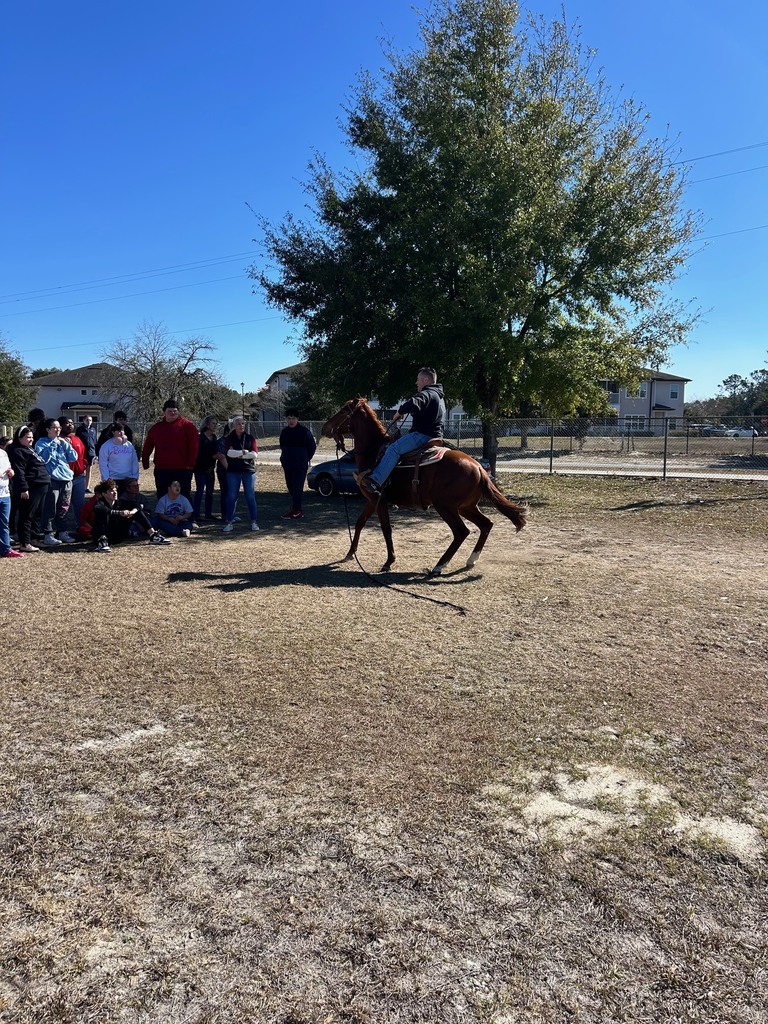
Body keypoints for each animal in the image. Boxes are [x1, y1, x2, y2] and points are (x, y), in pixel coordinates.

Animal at [321, 398, 527, 575]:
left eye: (343, 410)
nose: (325, 427)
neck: (373, 453)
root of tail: (478, 467)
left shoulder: (378, 499)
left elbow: (386, 529)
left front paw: (389, 561)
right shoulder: (372, 501)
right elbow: (359, 522)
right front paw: (350, 553)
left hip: (446, 506)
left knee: (461, 531)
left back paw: (439, 565)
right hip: (466, 507)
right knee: (486, 525)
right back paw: (471, 560)